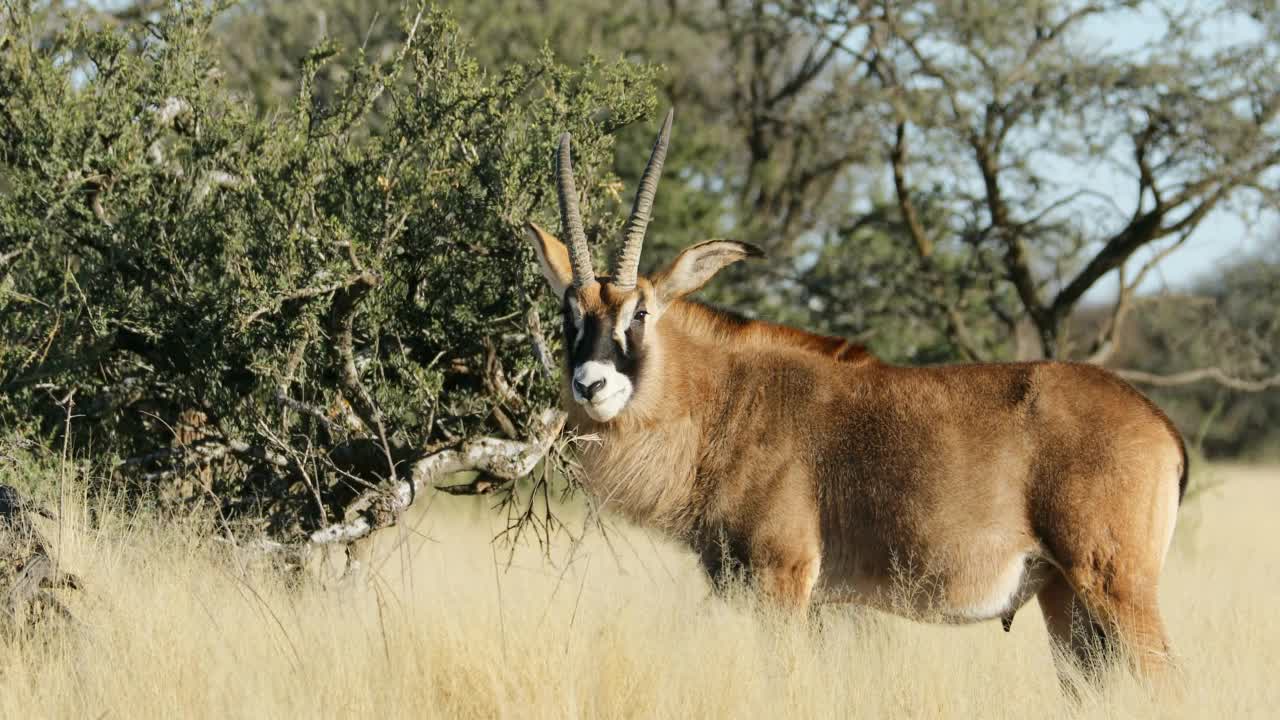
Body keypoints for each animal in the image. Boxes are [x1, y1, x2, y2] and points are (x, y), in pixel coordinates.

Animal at [524, 109, 1182, 681]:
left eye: (640, 313)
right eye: (568, 313)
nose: (591, 384)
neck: (727, 400)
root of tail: (1161, 427)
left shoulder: (783, 579)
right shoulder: (804, 599)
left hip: (1115, 585)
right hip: (1063, 599)